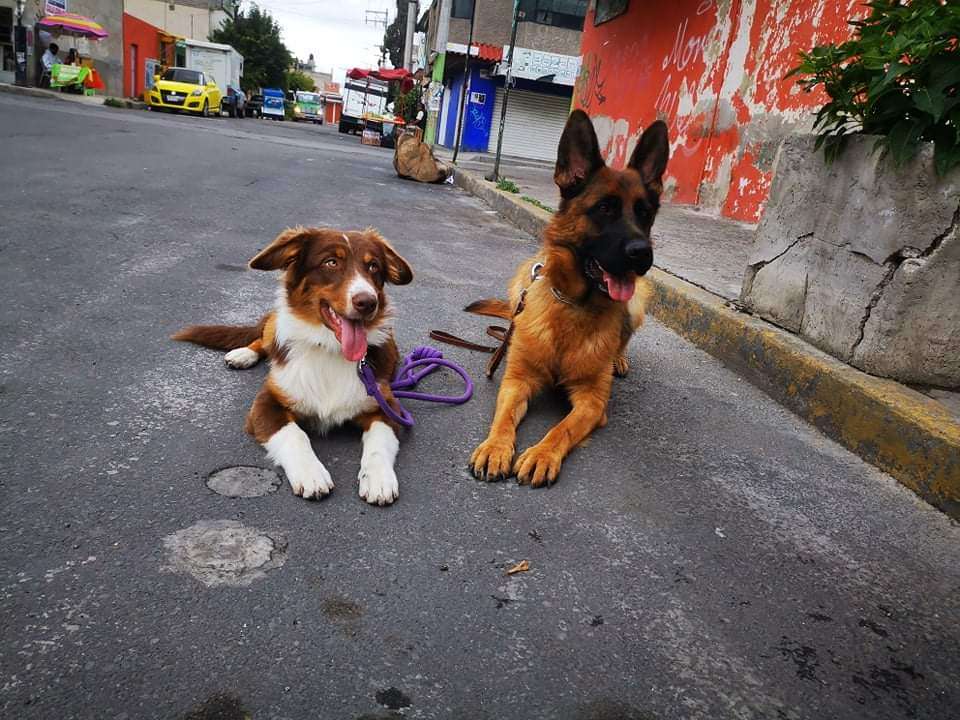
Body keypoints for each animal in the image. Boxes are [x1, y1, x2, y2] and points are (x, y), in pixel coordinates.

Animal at [172, 228, 412, 504]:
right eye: (331, 262)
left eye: (373, 266)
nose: (368, 302)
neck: (329, 349)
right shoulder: (266, 402)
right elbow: (295, 435)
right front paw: (311, 474)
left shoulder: (387, 405)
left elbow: (378, 443)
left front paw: (378, 479)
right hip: (274, 327)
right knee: (262, 339)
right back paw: (243, 354)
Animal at [466, 109, 668, 486]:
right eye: (604, 208)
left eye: (645, 213)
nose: (643, 254)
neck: (574, 307)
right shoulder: (516, 381)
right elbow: (503, 419)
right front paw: (495, 448)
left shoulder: (592, 400)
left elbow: (563, 428)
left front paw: (541, 455)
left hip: (638, 302)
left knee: (624, 336)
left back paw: (619, 358)